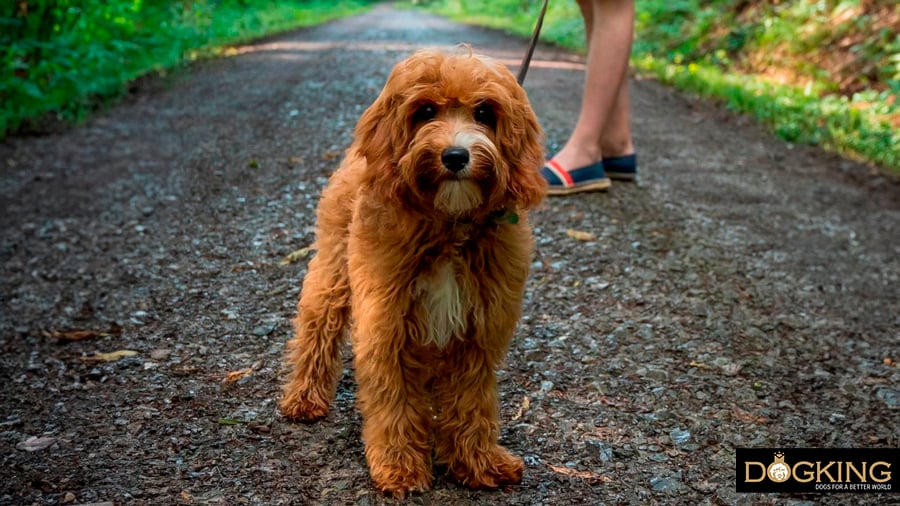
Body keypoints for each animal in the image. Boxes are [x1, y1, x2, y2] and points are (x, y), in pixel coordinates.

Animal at [282, 48, 544, 498]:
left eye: (484, 112)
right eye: (425, 111)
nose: (455, 156)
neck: (449, 224)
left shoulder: (477, 332)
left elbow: (472, 399)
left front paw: (478, 461)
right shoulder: (387, 323)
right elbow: (394, 400)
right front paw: (400, 465)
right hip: (334, 269)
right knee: (317, 325)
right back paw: (305, 396)